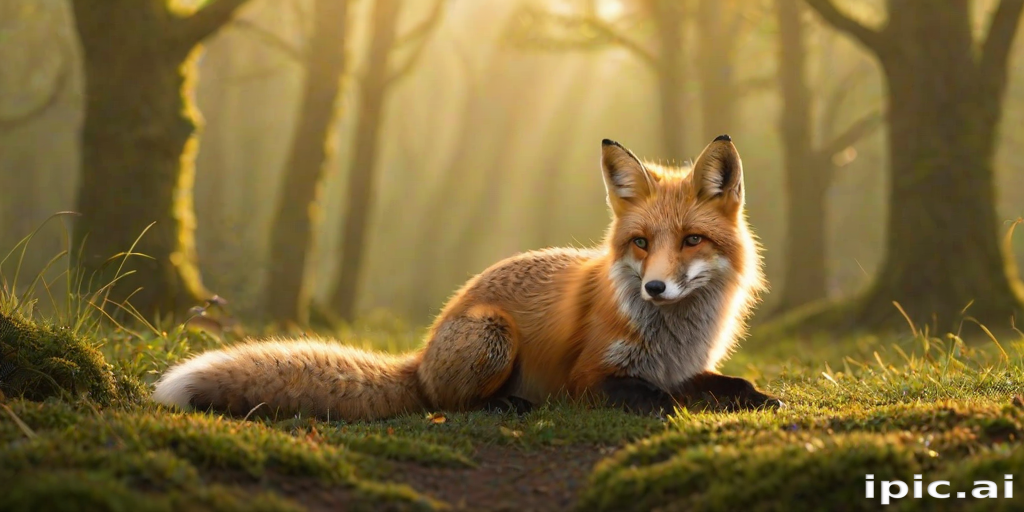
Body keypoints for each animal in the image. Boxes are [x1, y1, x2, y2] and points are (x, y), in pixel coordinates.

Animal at [153, 136, 782, 421]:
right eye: (642, 244)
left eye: (692, 240)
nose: (654, 288)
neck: (674, 335)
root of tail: (420, 355)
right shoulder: (589, 378)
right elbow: (658, 400)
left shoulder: (685, 367)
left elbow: (729, 384)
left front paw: (758, 398)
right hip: (491, 333)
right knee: (449, 403)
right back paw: (506, 406)